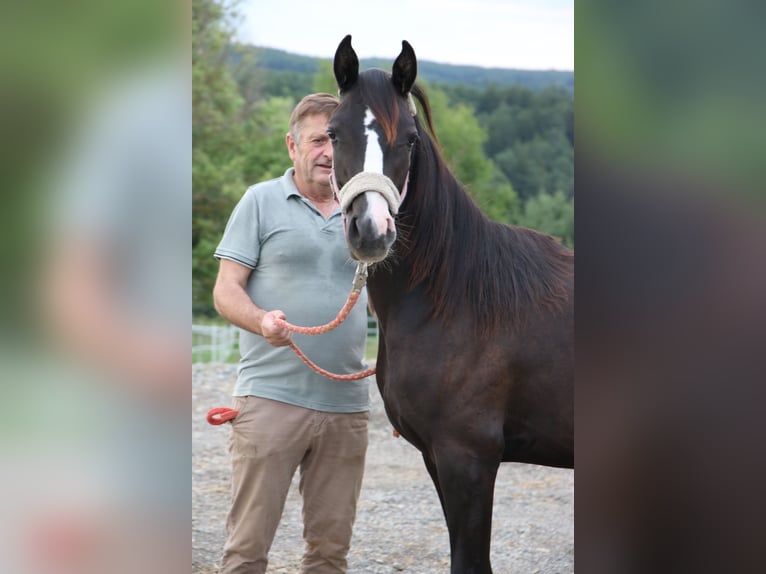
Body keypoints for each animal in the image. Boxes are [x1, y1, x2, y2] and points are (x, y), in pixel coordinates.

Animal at [330, 37, 576, 574]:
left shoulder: (468, 459)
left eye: (410, 141)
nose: (372, 231)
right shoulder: (435, 457)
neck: (457, 299)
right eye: (334, 134)